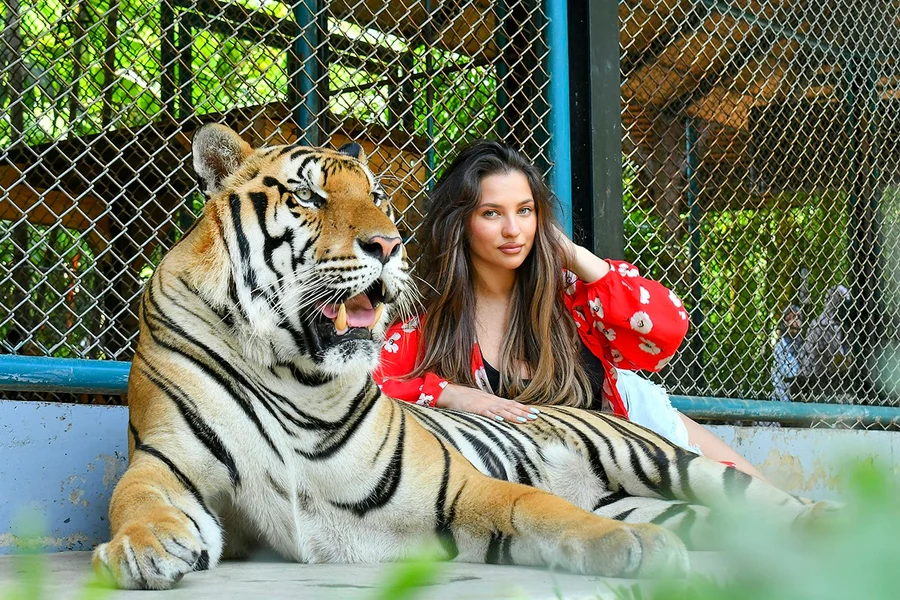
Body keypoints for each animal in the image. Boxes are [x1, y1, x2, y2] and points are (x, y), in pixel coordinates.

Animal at [92, 124, 832, 590]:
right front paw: (146, 547)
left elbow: (543, 508)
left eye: (377, 196)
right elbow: (136, 499)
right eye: (307, 195)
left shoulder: (459, 487)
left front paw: (635, 552)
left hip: (669, 462)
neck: (292, 369)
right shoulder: (165, 461)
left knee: (775, 501)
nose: (388, 246)